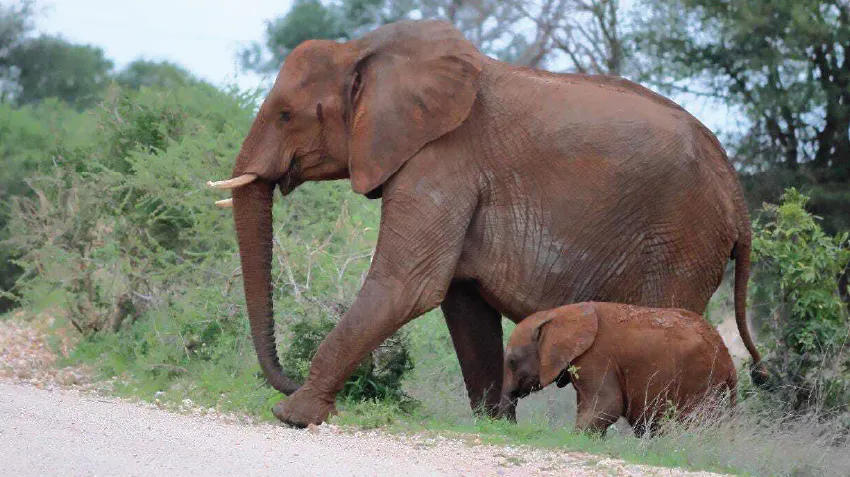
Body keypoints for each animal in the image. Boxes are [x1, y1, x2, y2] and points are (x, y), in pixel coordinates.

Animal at [498, 302, 737, 436]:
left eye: (512, 361)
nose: (512, 426)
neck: (556, 315)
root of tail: (728, 358)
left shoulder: (596, 357)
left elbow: (607, 405)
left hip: (702, 378)